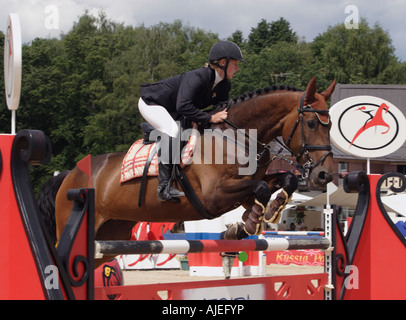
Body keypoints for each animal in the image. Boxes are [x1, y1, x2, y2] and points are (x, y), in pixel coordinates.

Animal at [38, 76, 336, 266]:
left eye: (331, 125)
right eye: (311, 123)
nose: (325, 175)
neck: (237, 136)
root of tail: (69, 175)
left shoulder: (245, 190)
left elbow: (282, 181)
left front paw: (256, 219)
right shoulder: (214, 196)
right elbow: (261, 188)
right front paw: (248, 224)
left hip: (110, 236)